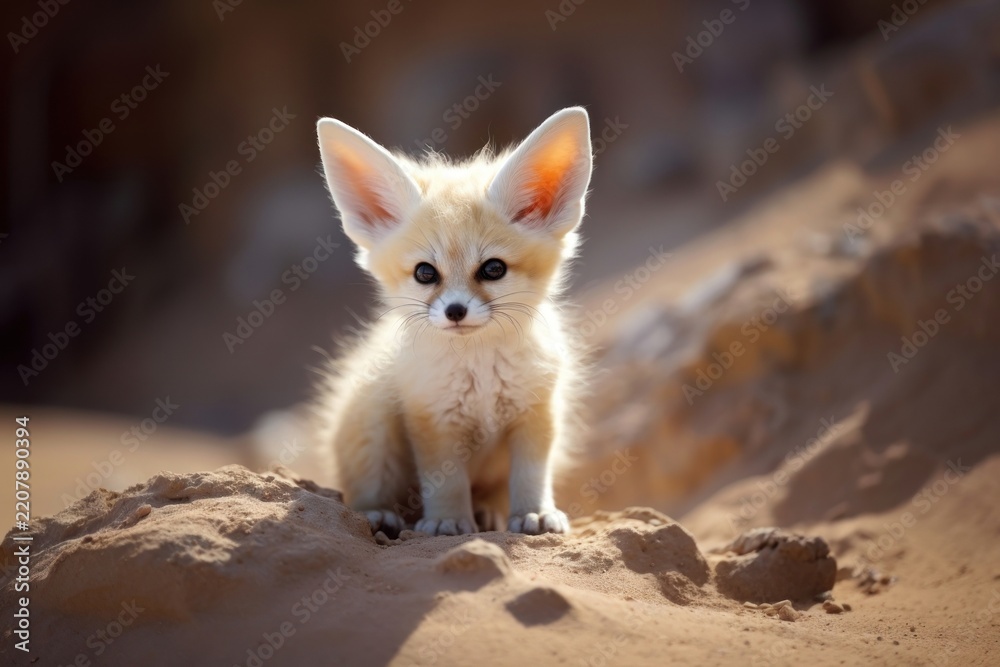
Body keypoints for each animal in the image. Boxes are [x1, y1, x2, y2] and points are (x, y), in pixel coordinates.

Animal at [312, 107, 593, 537]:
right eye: (425, 273)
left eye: (493, 269)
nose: (455, 311)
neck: (481, 375)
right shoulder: (432, 419)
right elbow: (445, 482)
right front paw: (447, 521)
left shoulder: (535, 413)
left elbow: (531, 475)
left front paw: (535, 512)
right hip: (374, 422)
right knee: (366, 490)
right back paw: (379, 513)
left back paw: (488, 512)